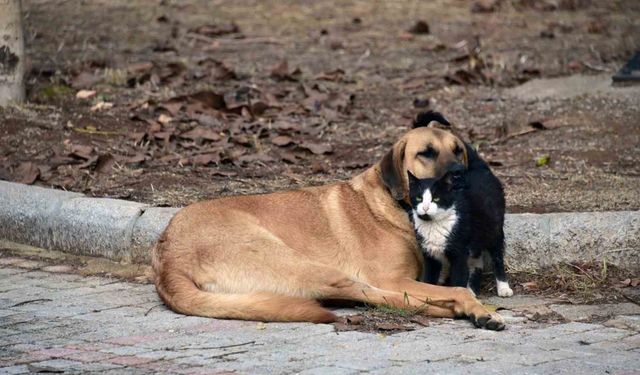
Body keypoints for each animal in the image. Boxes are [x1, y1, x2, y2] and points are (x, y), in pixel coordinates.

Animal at [154, 127, 504, 332]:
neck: (396, 203)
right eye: (426, 153)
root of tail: (167, 258)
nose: (460, 174)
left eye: (458, 150)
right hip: (310, 266)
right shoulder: (392, 277)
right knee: (381, 296)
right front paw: (476, 307)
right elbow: (455, 288)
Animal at [408, 110, 512, 298]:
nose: (425, 208)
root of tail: (479, 169)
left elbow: (458, 280)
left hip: (493, 228)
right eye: (418, 198)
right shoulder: (430, 257)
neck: (434, 226)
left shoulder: (458, 254)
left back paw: (503, 288)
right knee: (476, 262)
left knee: (497, 256)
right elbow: (429, 280)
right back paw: (472, 291)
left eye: (436, 199)